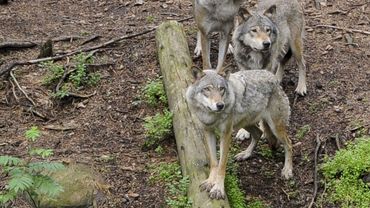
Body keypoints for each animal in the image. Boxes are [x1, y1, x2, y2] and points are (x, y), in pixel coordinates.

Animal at [186, 66, 294, 200]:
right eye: (207, 89)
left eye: (221, 89)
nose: (220, 105)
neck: (211, 116)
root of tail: (274, 79)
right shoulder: (208, 131)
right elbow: (214, 162)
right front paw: (211, 181)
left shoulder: (226, 134)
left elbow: (222, 165)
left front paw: (218, 189)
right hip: (244, 124)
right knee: (258, 133)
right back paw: (245, 154)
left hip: (275, 128)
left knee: (289, 144)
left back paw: (287, 170)